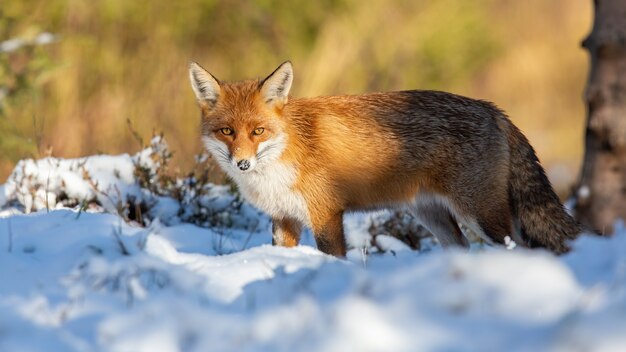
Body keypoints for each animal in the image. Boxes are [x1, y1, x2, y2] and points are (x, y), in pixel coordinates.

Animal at [189, 59, 580, 254]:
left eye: (258, 131)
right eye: (227, 132)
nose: (242, 163)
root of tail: (495, 110)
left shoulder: (326, 214)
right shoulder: (284, 219)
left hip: (482, 214)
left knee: (525, 247)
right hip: (434, 217)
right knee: (463, 247)